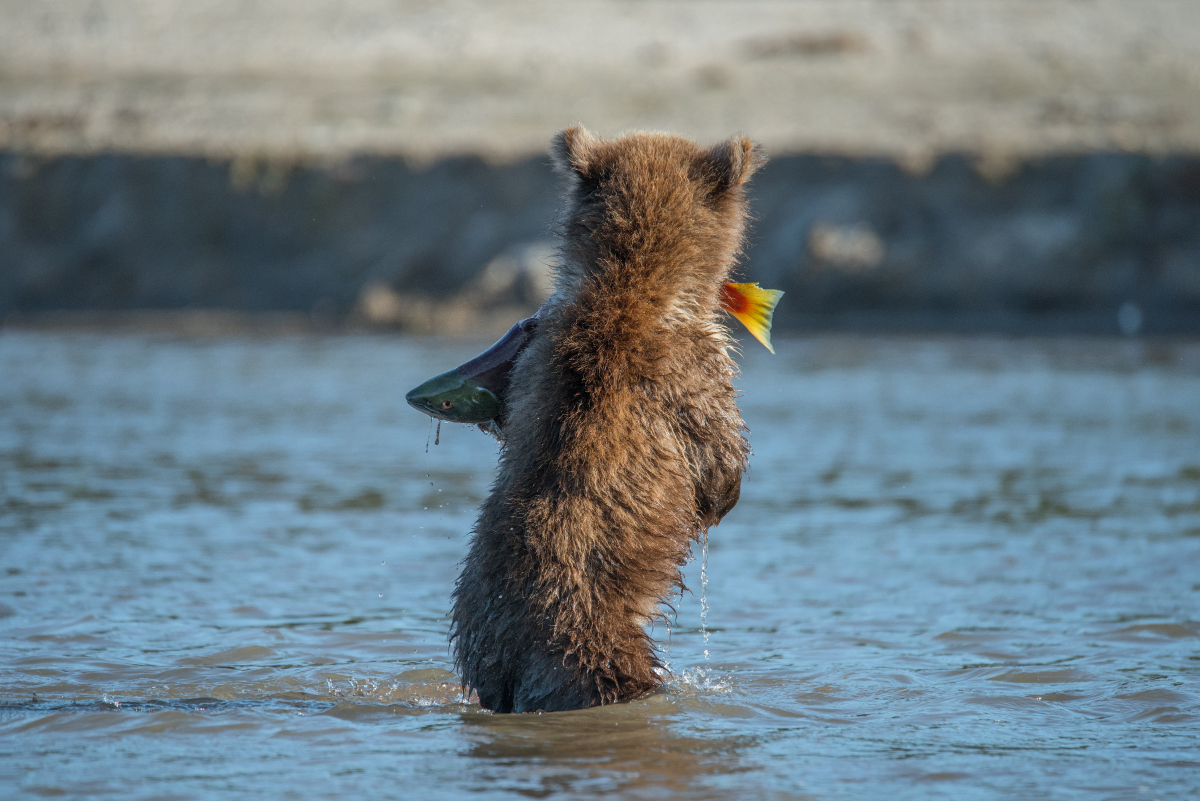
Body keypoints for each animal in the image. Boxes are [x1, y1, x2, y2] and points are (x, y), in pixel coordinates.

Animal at [446, 125, 763, 714]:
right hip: (590, 644)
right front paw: (722, 496)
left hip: (481, 633)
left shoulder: (533, 359)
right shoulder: (691, 367)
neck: (633, 287)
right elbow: (715, 446)